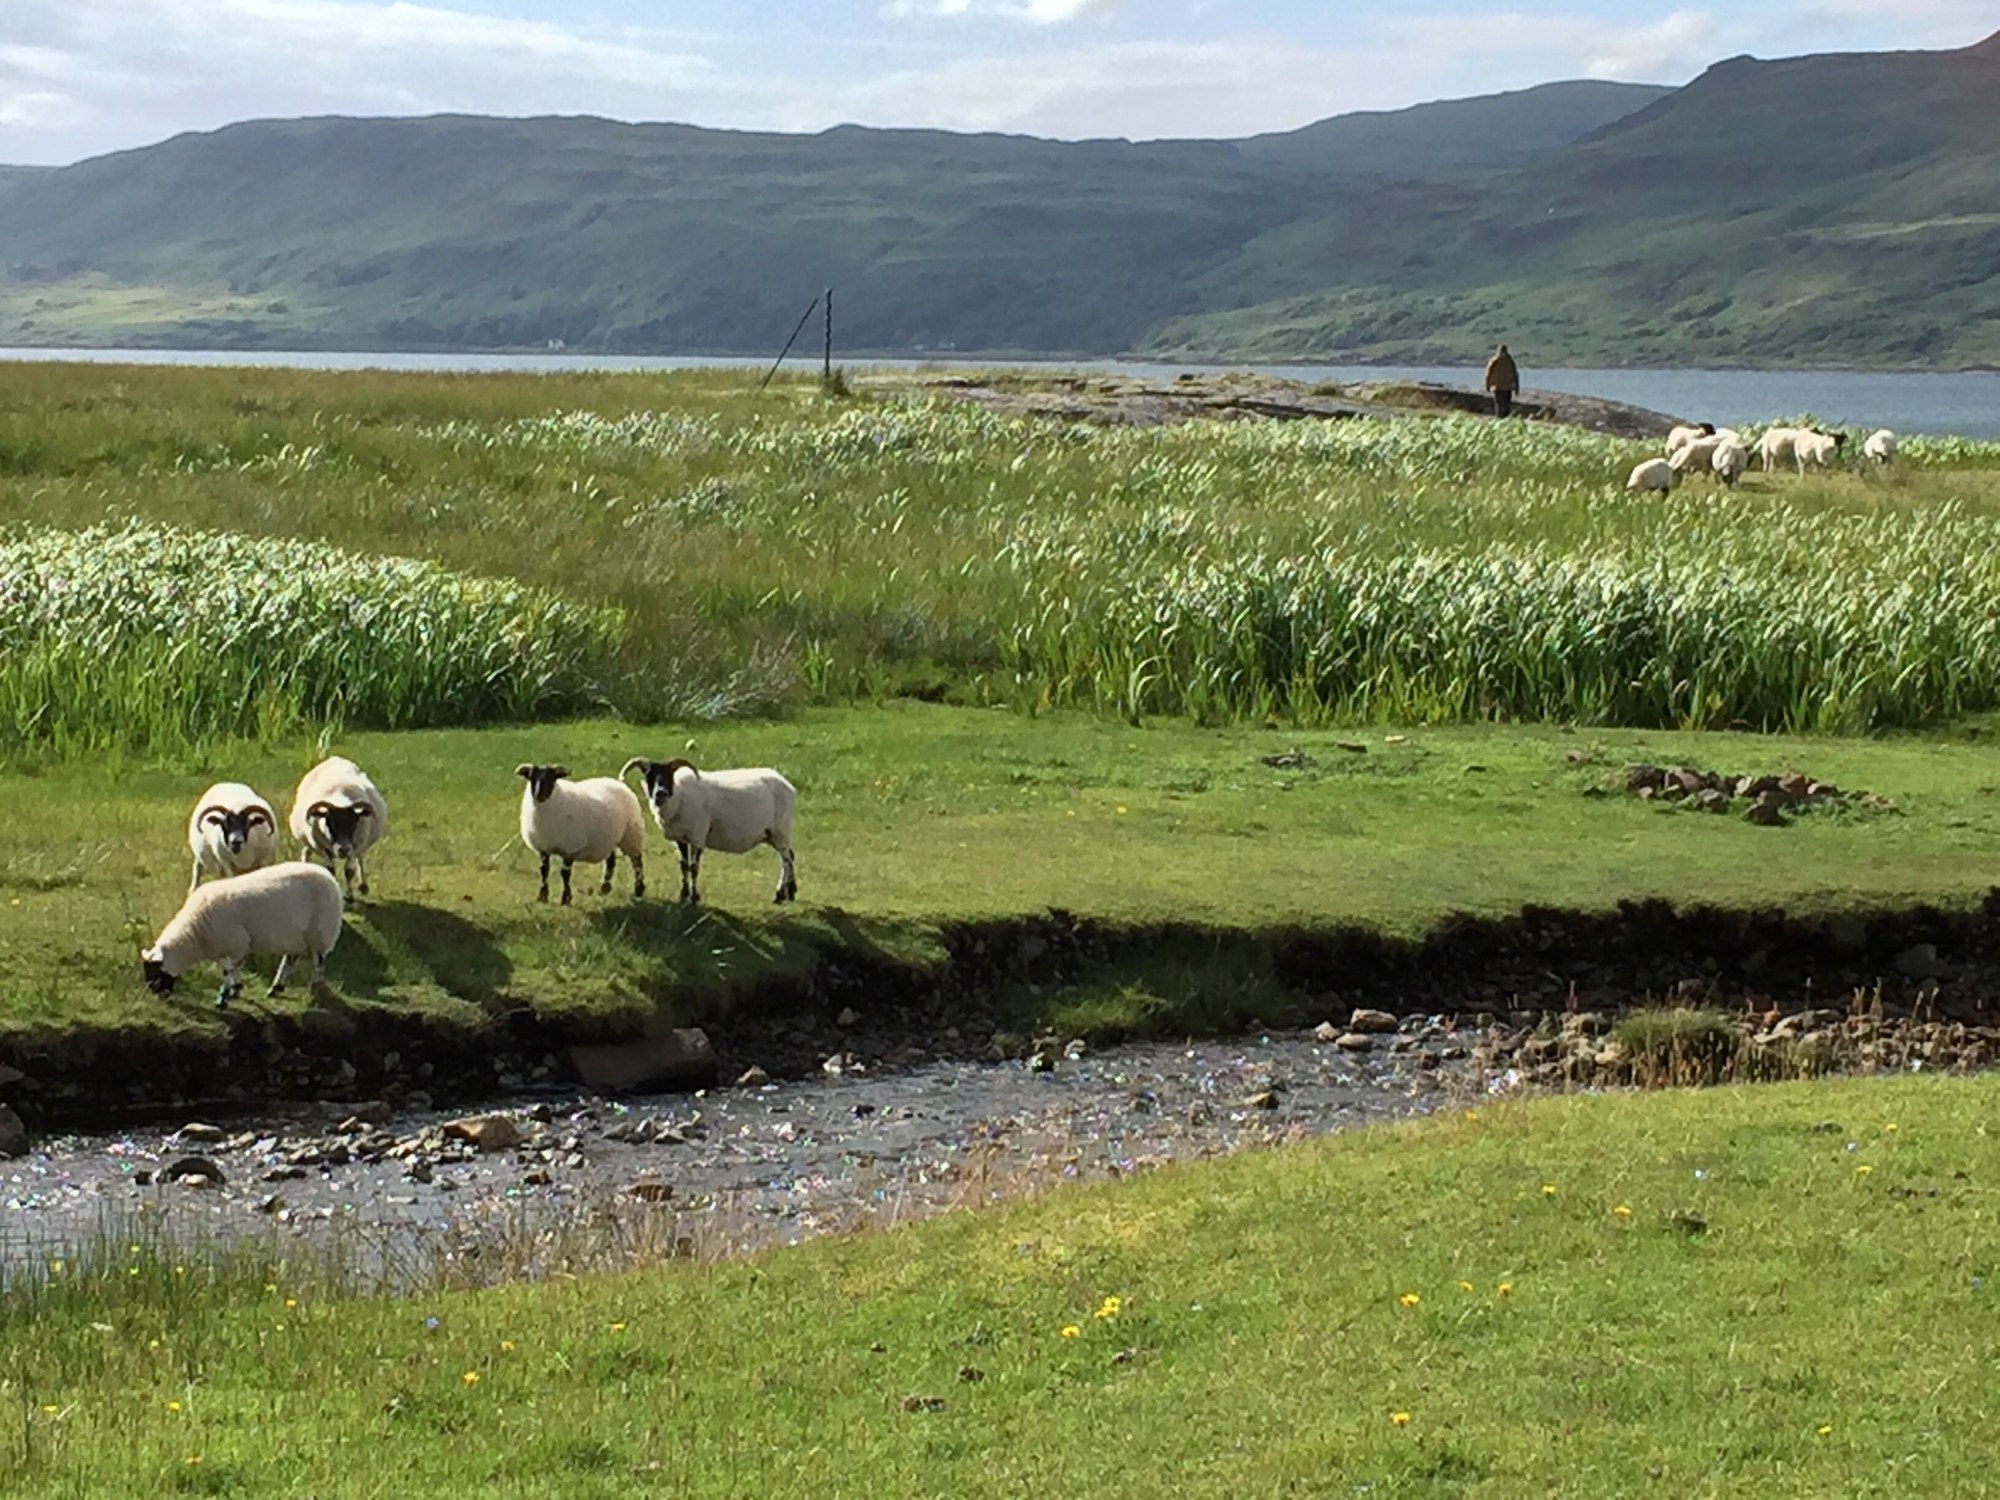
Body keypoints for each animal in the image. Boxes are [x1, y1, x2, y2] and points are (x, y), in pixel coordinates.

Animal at [140, 860, 344, 1009]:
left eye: (156, 972)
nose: (160, 998)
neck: (195, 933)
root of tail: (328, 875)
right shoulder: (225, 947)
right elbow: (229, 968)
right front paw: (234, 989)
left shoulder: (236, 943)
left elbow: (228, 969)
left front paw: (226, 995)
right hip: (296, 937)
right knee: (291, 959)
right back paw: (276, 988)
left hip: (321, 932)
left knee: (318, 962)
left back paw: (314, 988)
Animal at [288, 756, 387, 899]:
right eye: (330, 823)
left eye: (354, 823)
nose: (343, 849)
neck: (340, 798)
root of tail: (335, 758)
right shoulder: (321, 847)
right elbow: (331, 870)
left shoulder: (355, 846)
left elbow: (349, 871)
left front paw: (350, 896)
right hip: (309, 840)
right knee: (306, 851)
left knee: (360, 858)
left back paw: (363, 886)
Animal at [516, 764, 647, 905]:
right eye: (531, 777)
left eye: (552, 777)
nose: (539, 795)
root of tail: (618, 782)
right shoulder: (543, 847)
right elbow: (544, 871)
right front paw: (542, 897)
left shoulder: (569, 847)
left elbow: (565, 873)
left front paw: (566, 899)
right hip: (608, 838)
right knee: (611, 861)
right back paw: (604, 889)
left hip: (631, 834)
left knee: (637, 863)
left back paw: (638, 890)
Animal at [620, 757, 797, 906]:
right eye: (649, 777)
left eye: (669, 775)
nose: (660, 793)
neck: (679, 797)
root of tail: (788, 785)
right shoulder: (681, 838)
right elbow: (683, 866)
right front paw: (683, 895)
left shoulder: (697, 835)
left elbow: (694, 867)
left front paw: (694, 898)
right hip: (771, 834)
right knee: (791, 855)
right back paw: (791, 892)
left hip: (780, 829)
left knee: (787, 860)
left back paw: (779, 895)